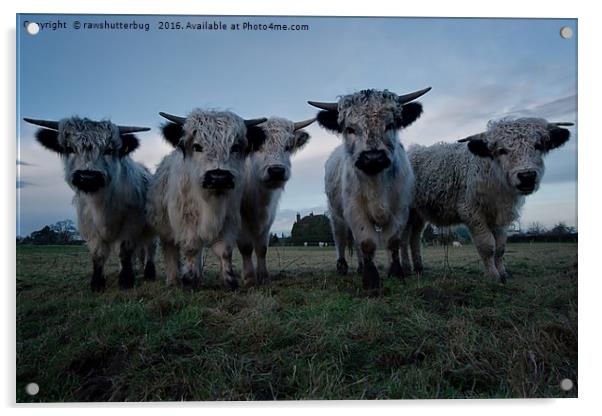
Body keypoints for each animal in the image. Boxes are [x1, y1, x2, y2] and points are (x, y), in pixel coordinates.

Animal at [24, 116, 156, 292]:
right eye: (70, 148)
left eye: (109, 150)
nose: (88, 177)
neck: (101, 203)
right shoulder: (89, 227)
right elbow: (98, 254)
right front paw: (97, 284)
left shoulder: (131, 224)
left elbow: (124, 251)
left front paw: (126, 281)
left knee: (150, 247)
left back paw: (149, 273)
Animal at [147, 109, 264, 290]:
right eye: (197, 146)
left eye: (235, 147)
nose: (218, 177)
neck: (210, 204)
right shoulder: (185, 223)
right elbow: (190, 249)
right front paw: (188, 282)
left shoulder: (228, 221)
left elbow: (224, 251)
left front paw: (229, 281)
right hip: (165, 230)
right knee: (171, 251)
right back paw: (173, 280)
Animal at [308, 86, 428, 290]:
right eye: (350, 129)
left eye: (390, 125)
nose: (373, 158)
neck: (376, 183)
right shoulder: (354, 210)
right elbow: (367, 242)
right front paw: (371, 280)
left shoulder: (400, 209)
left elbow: (392, 241)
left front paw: (396, 273)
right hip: (336, 214)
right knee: (340, 238)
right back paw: (343, 267)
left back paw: (360, 267)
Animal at [398, 115, 572, 282]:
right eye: (501, 150)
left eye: (537, 145)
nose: (527, 176)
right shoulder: (472, 213)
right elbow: (487, 246)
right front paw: (493, 276)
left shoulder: (501, 216)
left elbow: (500, 247)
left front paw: (502, 273)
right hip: (407, 211)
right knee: (404, 237)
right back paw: (406, 267)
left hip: (419, 214)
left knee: (415, 237)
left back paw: (419, 267)